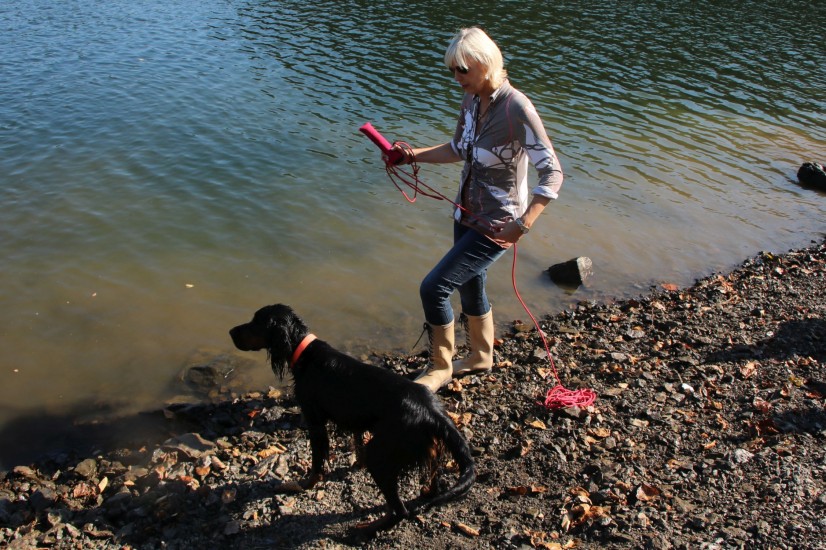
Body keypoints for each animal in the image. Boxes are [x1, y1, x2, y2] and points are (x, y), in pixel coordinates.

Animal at [229, 304, 475, 537]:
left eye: (256, 322)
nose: (231, 331)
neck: (305, 352)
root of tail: (433, 410)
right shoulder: (355, 421)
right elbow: (356, 443)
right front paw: (356, 463)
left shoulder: (315, 421)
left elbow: (317, 463)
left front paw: (305, 484)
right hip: (424, 446)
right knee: (432, 478)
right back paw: (425, 492)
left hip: (381, 452)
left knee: (400, 511)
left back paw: (367, 529)